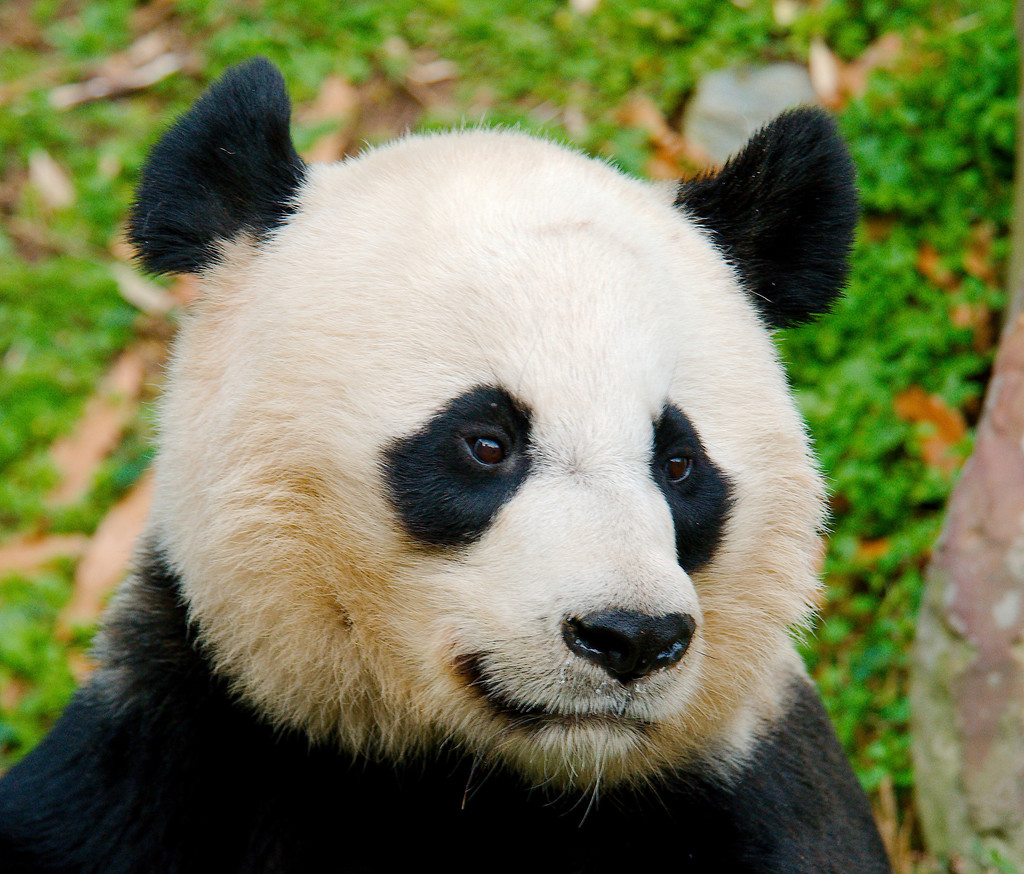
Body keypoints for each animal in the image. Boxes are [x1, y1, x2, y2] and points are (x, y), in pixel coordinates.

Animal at [0, 58, 891, 873]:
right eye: (486, 443)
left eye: (677, 463)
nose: (632, 637)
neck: (471, 781)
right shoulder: (178, 737)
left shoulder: (748, 786)